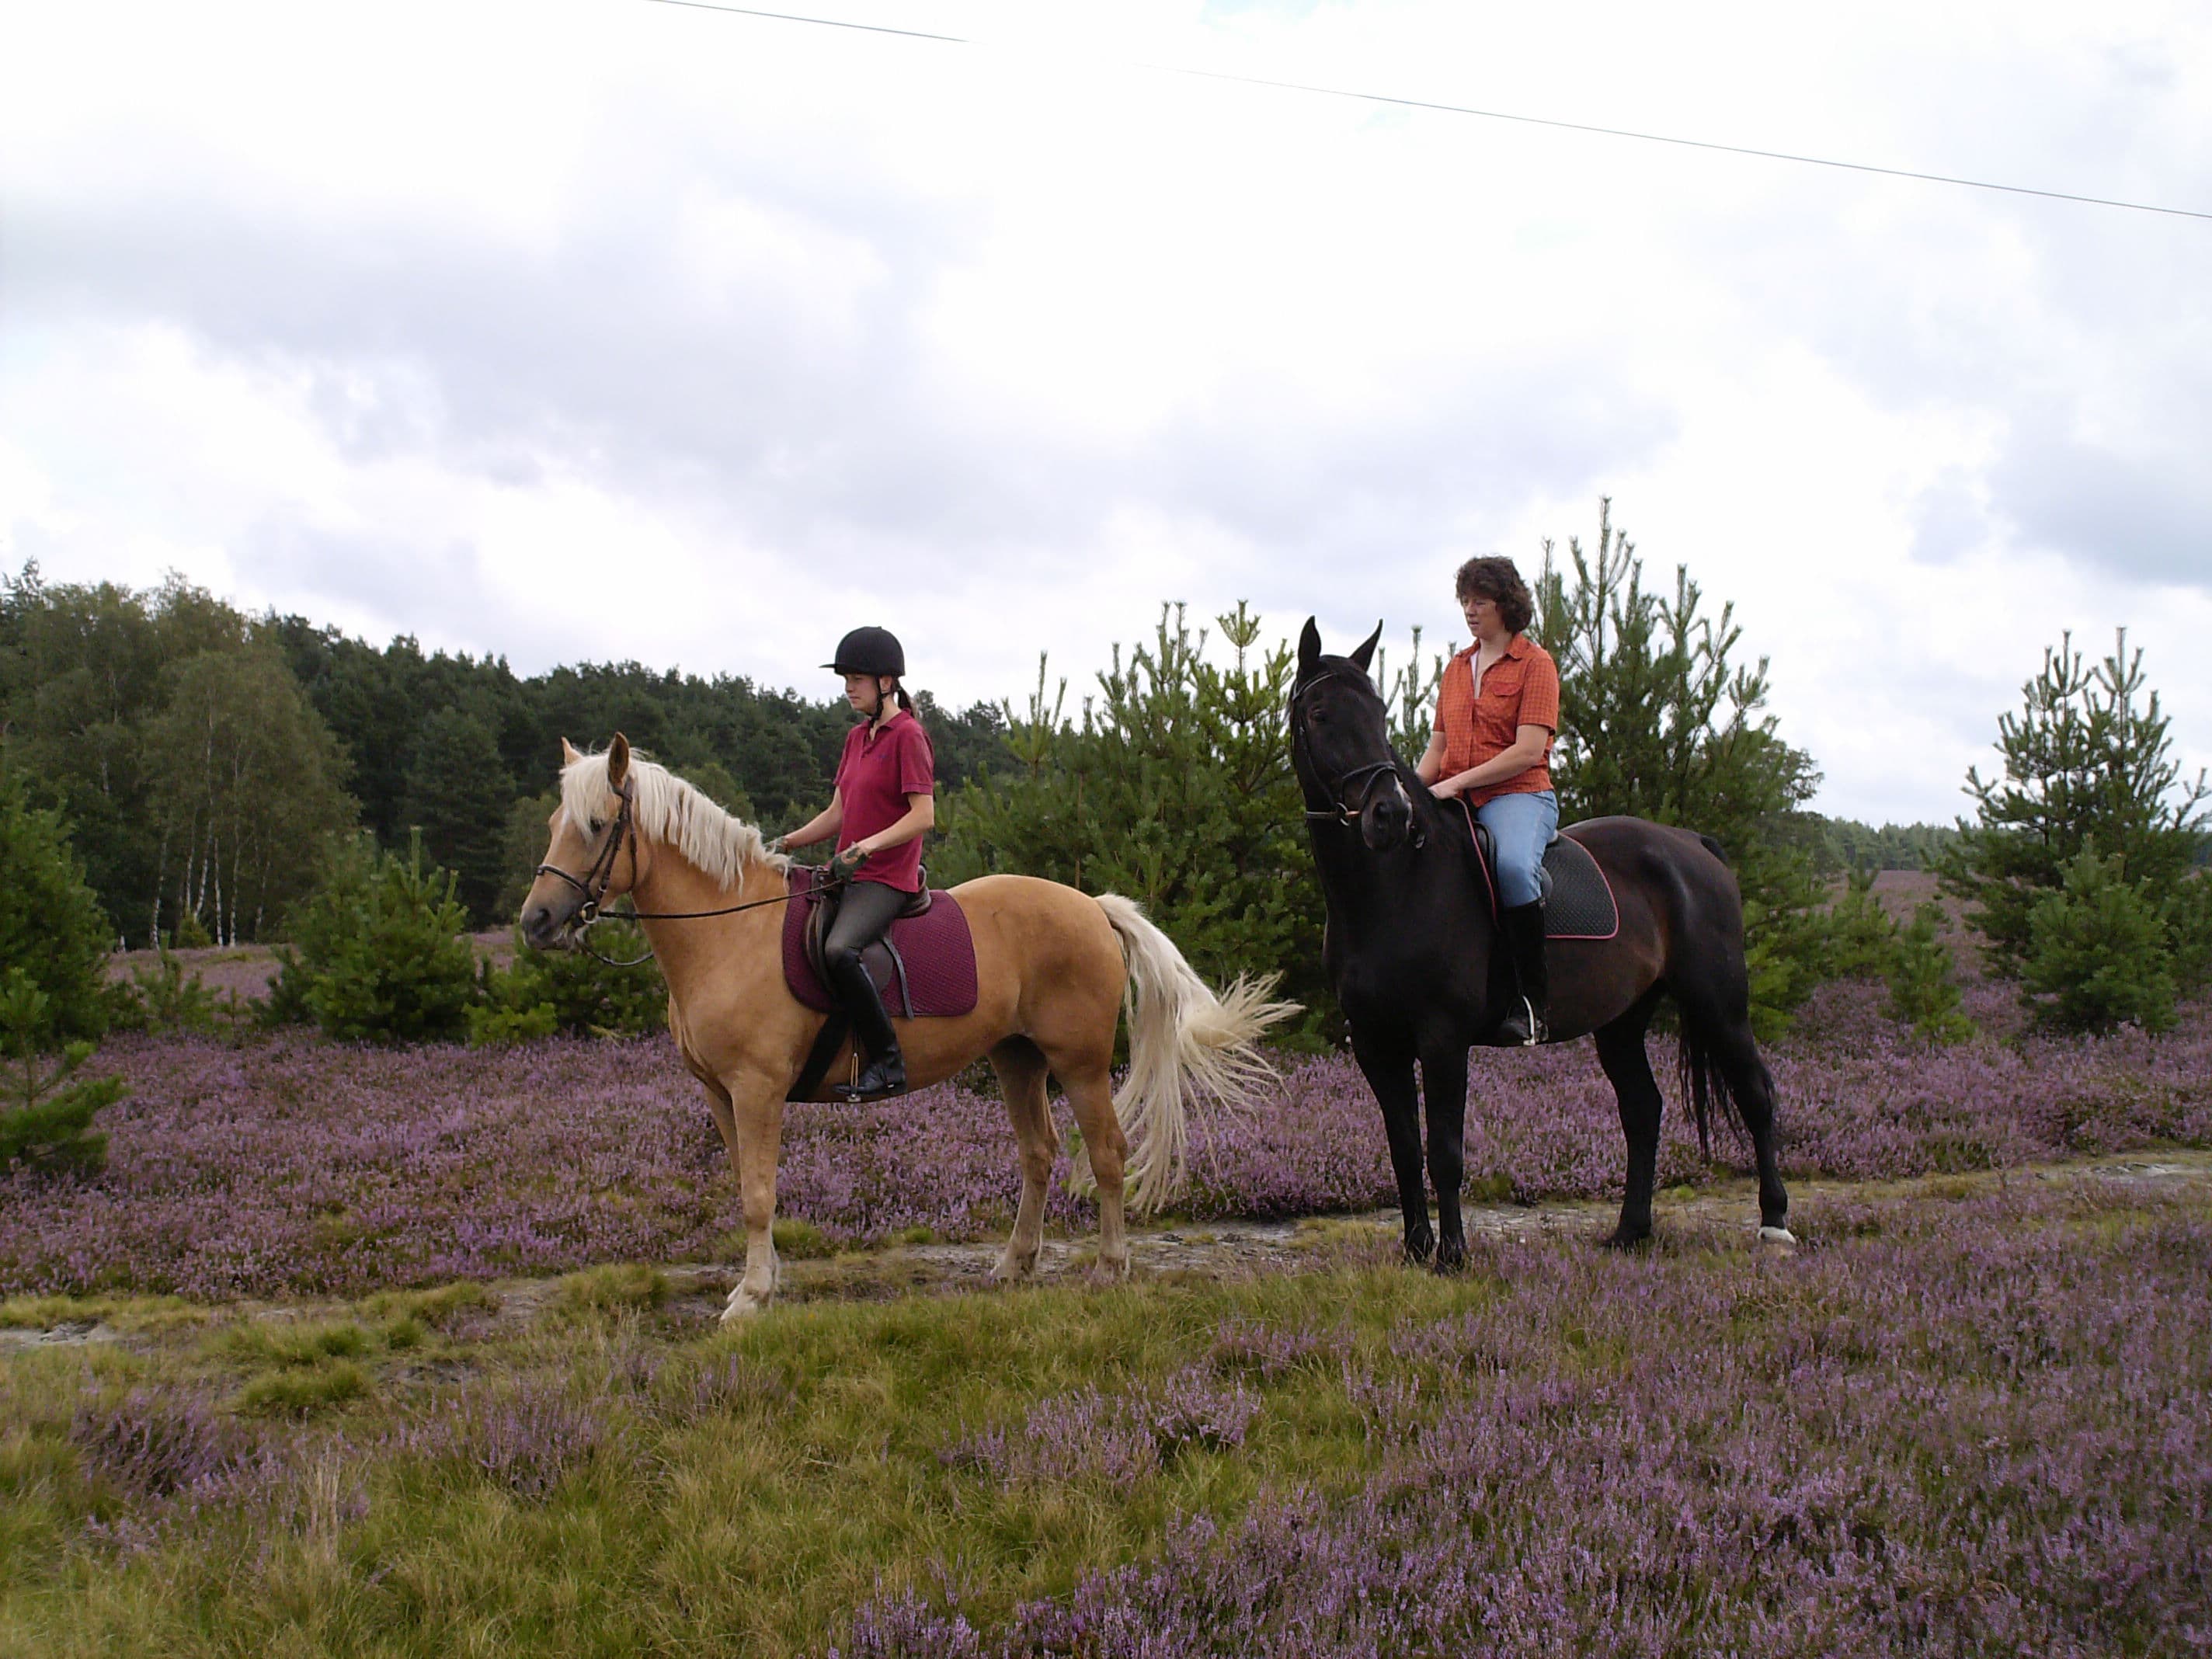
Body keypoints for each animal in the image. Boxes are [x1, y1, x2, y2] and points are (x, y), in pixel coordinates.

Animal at [517, 739, 1292, 1327]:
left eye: (595, 825)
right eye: (553, 819)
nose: (537, 922)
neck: (728, 932)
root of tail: (1093, 907)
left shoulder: (756, 1089)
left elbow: (759, 1193)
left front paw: (752, 1298)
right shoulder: (720, 1094)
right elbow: (746, 1185)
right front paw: (761, 1281)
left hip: (1079, 1062)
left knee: (1105, 1153)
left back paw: (1109, 1267)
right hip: (1017, 1059)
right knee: (1038, 1154)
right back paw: (1015, 1264)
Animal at [1292, 624, 1787, 1274]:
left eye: (1378, 714)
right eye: (1320, 714)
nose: (1390, 815)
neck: (1395, 887)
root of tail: (1692, 845)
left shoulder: (1443, 1037)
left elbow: (1443, 1150)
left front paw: (1452, 1257)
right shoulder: (1377, 1045)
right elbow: (1402, 1151)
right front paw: (1415, 1250)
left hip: (1718, 1003)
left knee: (1755, 1096)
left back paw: (1775, 1223)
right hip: (1624, 1020)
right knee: (1643, 1111)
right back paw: (1630, 1232)